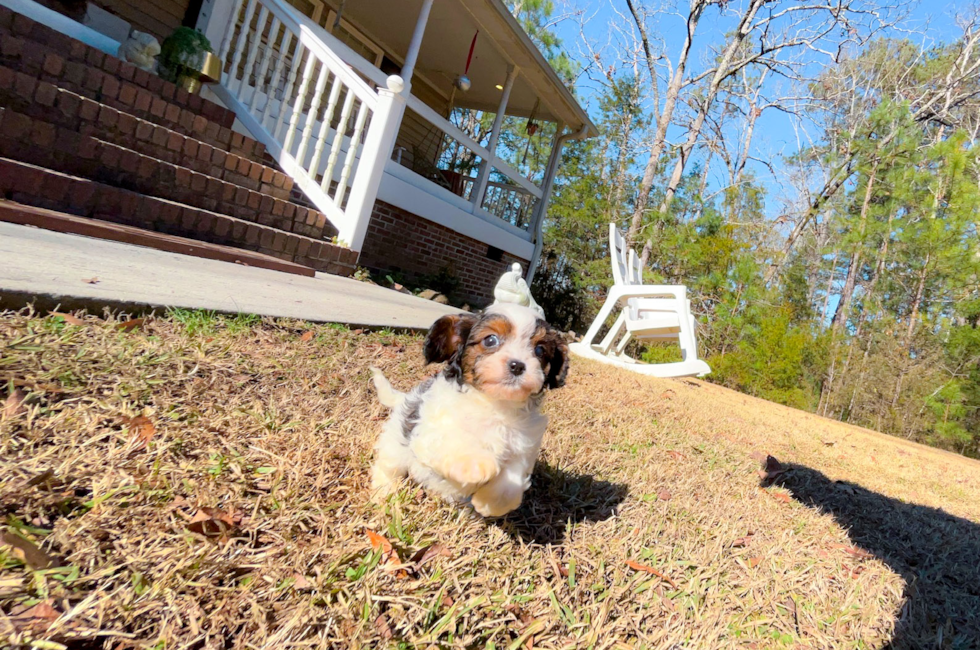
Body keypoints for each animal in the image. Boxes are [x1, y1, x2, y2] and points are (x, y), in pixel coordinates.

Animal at [368, 302, 568, 516]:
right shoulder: (431, 430)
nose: (517, 365)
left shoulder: (524, 447)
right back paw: (384, 492)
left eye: (539, 351)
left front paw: (489, 503)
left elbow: (510, 483)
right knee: (387, 467)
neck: (494, 404)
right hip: (395, 447)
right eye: (490, 340)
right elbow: (454, 439)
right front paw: (476, 464)